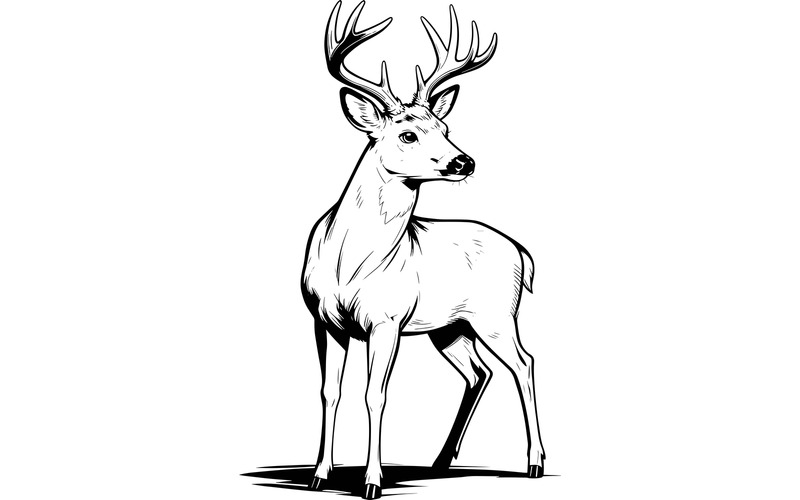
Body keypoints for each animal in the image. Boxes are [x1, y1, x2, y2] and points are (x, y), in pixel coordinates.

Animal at [300, 2, 546, 498]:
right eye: (408, 135)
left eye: (445, 127)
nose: (464, 161)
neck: (349, 262)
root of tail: (522, 253)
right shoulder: (323, 319)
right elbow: (330, 392)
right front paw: (320, 474)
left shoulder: (387, 319)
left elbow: (375, 394)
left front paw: (372, 481)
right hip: (450, 327)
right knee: (480, 372)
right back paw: (441, 459)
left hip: (496, 315)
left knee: (524, 363)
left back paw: (535, 462)